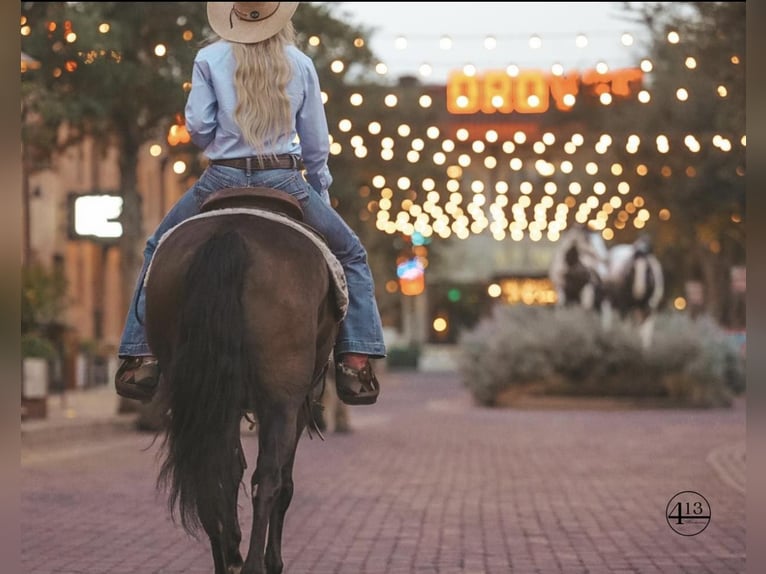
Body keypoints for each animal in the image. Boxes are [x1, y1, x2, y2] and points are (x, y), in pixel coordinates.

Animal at [146, 189, 344, 574]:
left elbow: (232, 467)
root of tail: (231, 233)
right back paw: (253, 564)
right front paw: (273, 560)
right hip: (281, 400)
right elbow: (284, 482)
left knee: (211, 468)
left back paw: (228, 559)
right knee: (267, 479)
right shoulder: (296, 406)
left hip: (200, 394)